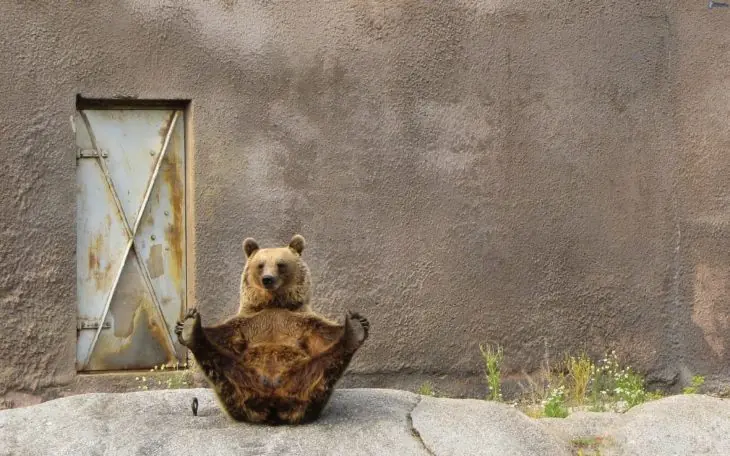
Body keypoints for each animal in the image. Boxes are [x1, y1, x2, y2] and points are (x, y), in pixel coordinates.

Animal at [175, 235, 370, 425]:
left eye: (280, 264)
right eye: (260, 265)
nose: (268, 279)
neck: (273, 303)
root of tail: (273, 404)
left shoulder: (301, 321)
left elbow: (324, 335)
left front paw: (357, 323)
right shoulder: (246, 323)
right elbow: (223, 336)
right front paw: (185, 324)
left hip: (302, 378)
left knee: (325, 367)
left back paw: (354, 332)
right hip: (240, 382)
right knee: (221, 365)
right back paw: (192, 330)